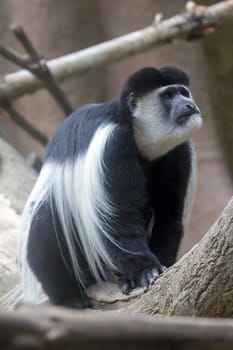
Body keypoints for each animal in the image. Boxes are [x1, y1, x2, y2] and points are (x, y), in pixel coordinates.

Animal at [19, 65, 202, 306]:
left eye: (184, 92)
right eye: (168, 95)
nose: (190, 104)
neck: (137, 133)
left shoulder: (177, 152)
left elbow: (168, 217)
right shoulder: (113, 145)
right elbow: (119, 220)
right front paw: (147, 271)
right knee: (46, 222)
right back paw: (68, 297)